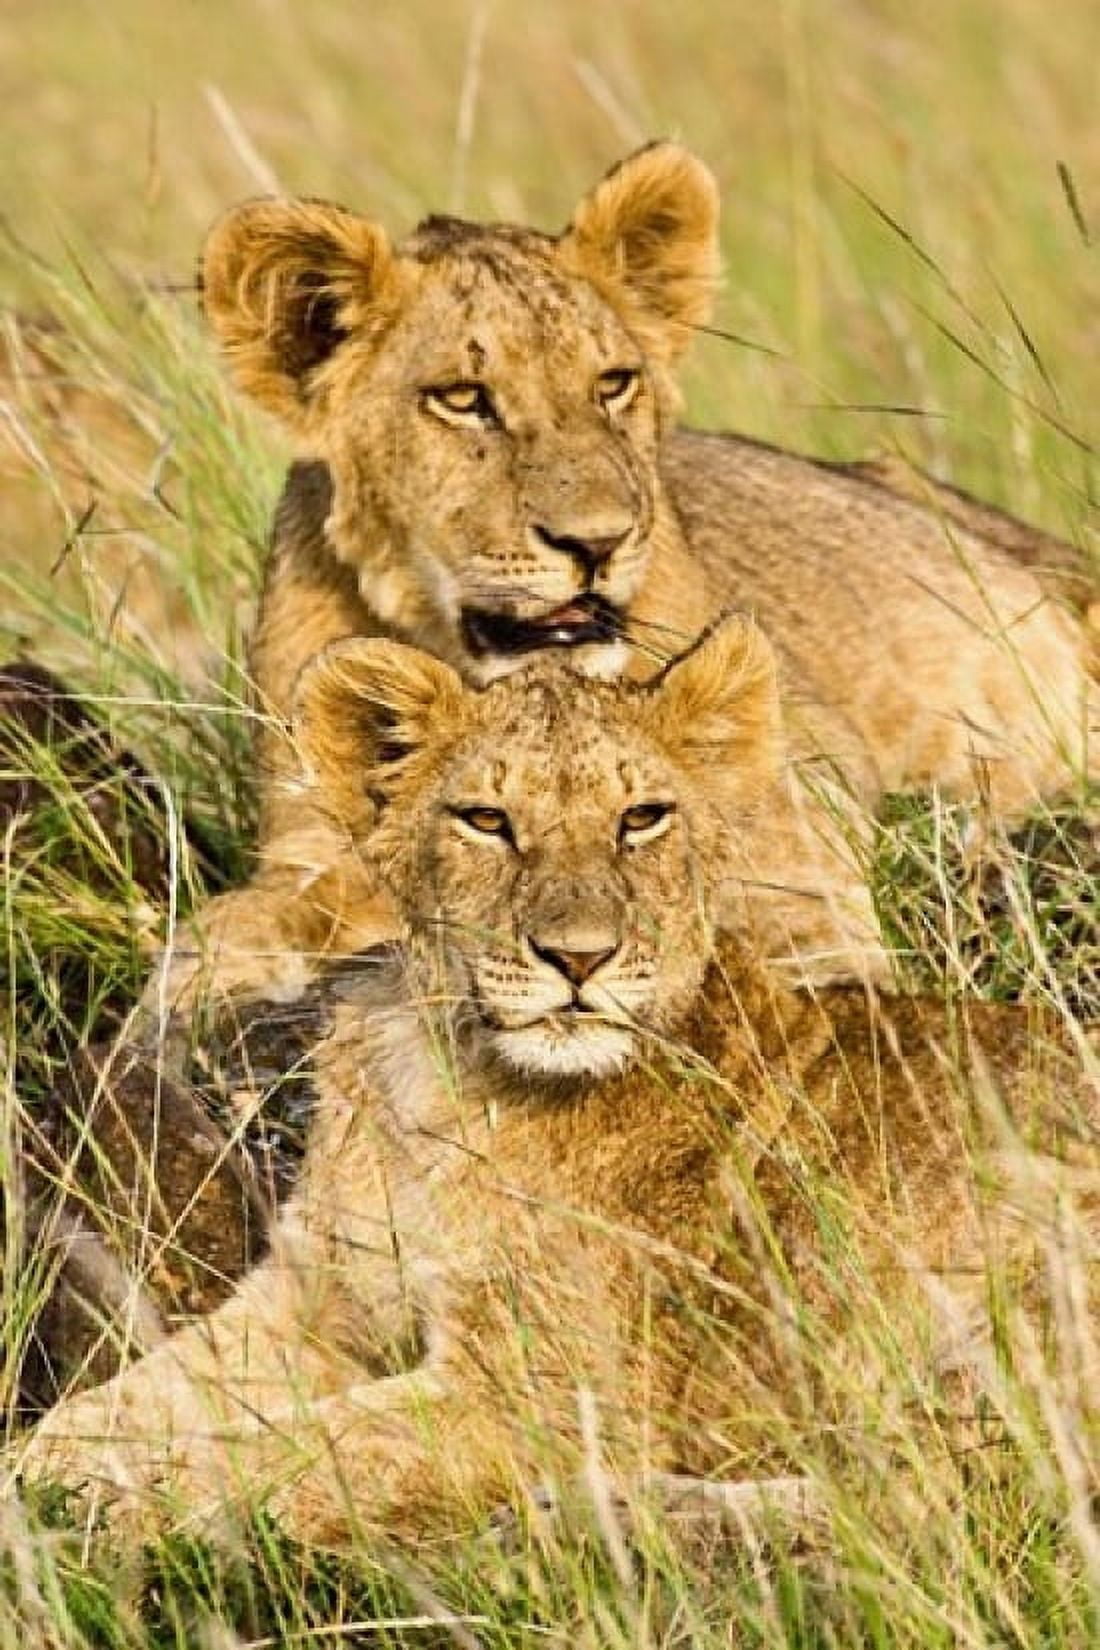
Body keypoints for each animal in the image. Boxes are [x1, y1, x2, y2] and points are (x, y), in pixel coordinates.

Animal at [15, 619, 1099, 1550]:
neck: (445, 1083)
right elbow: (109, 1410)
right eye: (487, 820)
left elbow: (295, 1447)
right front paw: (48, 1479)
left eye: (641, 818)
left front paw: (117, 1512)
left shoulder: (539, 1391)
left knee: (949, 1494)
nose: (578, 958)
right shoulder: (312, 1302)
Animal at [150, 140, 1099, 1016]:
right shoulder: (308, 839)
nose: (599, 542)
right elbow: (276, 905)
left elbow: (787, 911)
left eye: (613, 384)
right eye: (462, 398)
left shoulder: (792, 802)